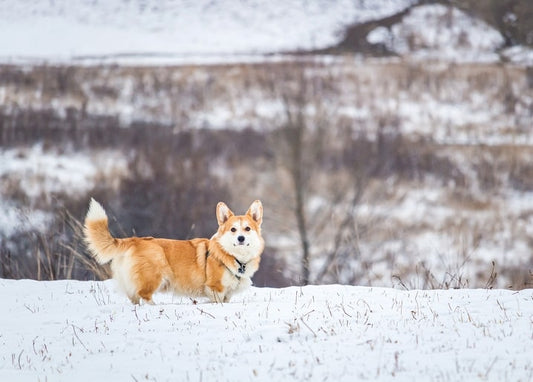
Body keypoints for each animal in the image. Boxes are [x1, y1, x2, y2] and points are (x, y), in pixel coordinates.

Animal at [83, 200, 264, 304]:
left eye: (247, 228)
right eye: (233, 229)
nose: (241, 238)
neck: (235, 257)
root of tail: (134, 240)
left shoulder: (227, 294)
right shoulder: (215, 288)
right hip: (153, 276)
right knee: (144, 295)